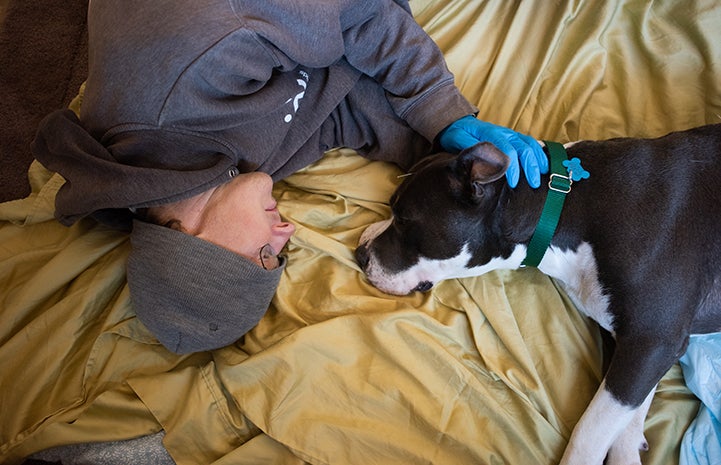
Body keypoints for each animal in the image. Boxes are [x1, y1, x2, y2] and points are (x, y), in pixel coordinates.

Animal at [354, 124, 720, 464]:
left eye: (403, 219)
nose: (359, 253)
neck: (565, 202)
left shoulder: (651, 339)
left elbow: (591, 430)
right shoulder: (640, 343)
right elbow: (626, 411)